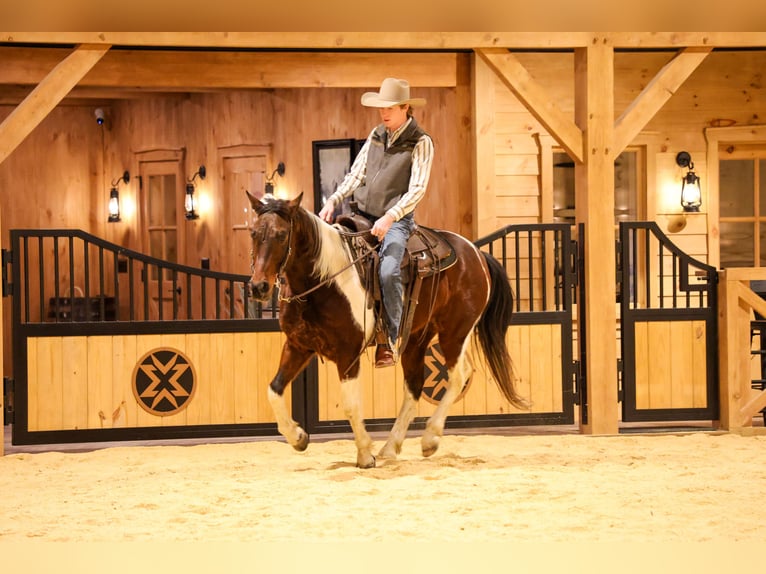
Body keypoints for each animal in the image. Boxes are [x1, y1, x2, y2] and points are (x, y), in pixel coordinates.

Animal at [246, 191, 527, 468]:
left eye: (282, 235)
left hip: (454, 333)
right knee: (415, 385)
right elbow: (274, 390)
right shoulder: (298, 346)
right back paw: (391, 447)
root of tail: (476, 254)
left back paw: (430, 439)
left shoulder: (348, 354)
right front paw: (298, 437)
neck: (325, 280)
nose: (259, 287)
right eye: (254, 233)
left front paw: (364, 454)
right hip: (418, 337)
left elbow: (350, 405)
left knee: (458, 377)